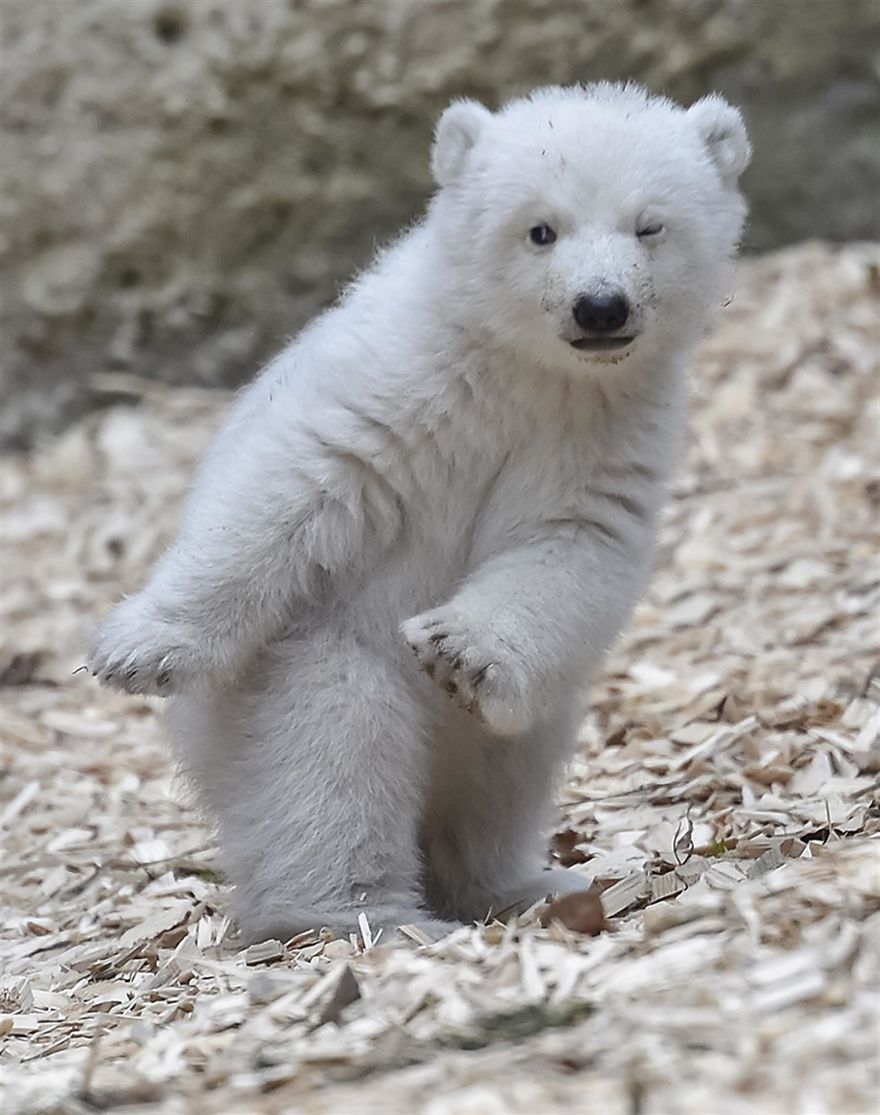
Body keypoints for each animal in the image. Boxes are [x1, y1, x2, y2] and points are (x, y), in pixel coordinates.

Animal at [90, 83, 751, 943]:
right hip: (292, 665)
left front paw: (459, 651)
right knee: (334, 748)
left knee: (503, 773)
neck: (524, 370)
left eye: (650, 224)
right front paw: (140, 647)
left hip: (525, 721)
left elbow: (569, 541)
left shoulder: (603, 428)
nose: (600, 307)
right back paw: (361, 910)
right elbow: (290, 486)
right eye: (540, 229)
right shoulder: (401, 385)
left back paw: (517, 881)